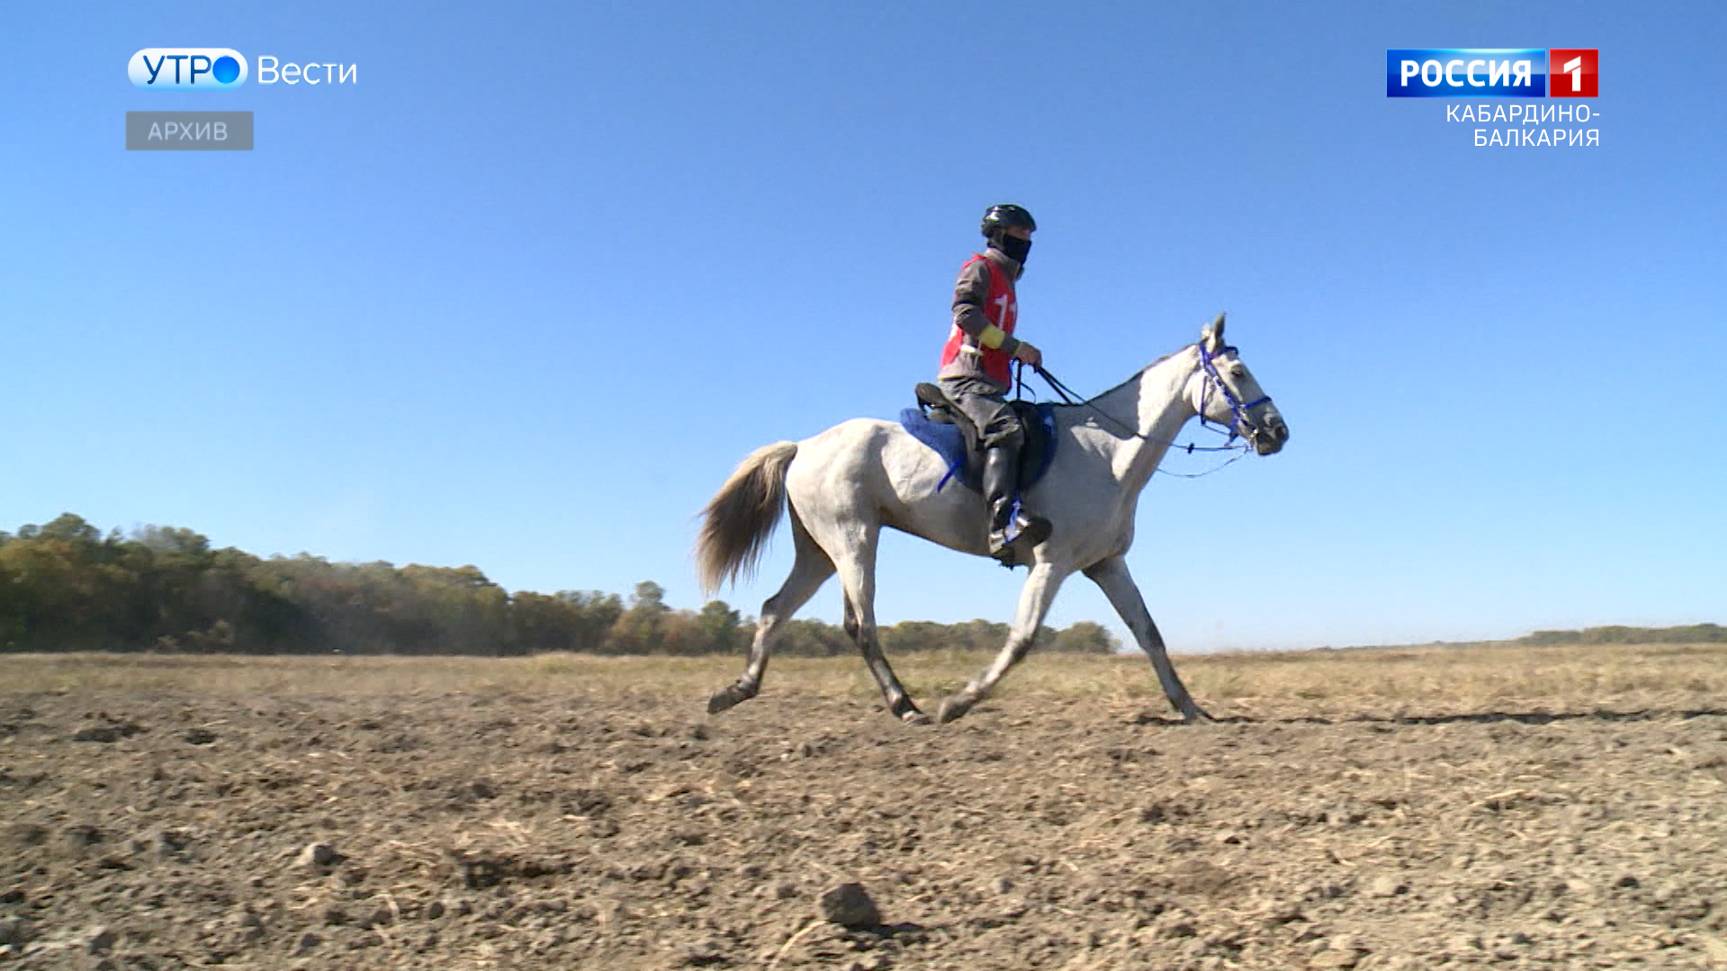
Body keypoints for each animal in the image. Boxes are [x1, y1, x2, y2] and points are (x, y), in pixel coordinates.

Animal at [697, 314, 1284, 722]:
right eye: (1237, 371)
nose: (1278, 431)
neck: (1107, 451)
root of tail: (803, 445)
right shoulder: (1051, 563)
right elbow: (1021, 639)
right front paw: (958, 702)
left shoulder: (1106, 565)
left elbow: (1150, 634)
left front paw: (1191, 709)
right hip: (853, 541)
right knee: (859, 624)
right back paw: (906, 705)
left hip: (818, 550)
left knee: (775, 609)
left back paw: (736, 692)